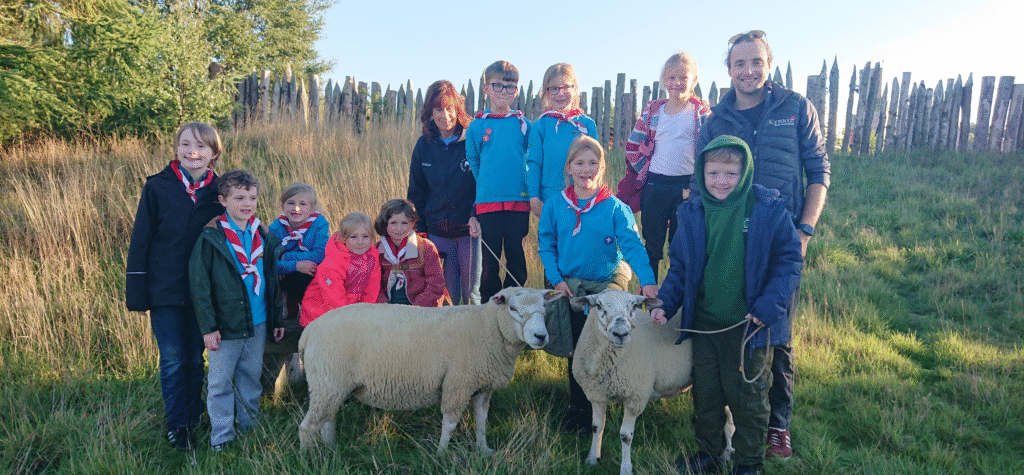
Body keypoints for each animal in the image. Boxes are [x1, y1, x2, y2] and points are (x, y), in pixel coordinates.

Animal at [298, 287, 562, 454]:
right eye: (513, 308)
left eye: (544, 307)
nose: (540, 336)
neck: (488, 327)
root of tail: (309, 331)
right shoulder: (458, 383)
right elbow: (450, 423)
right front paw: (441, 454)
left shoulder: (482, 386)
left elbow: (481, 420)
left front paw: (483, 449)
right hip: (327, 381)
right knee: (307, 427)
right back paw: (309, 458)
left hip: (331, 385)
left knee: (326, 420)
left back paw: (331, 448)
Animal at [570, 289, 734, 475]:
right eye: (598, 306)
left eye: (634, 306)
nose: (621, 334)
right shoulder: (596, 394)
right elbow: (596, 427)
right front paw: (592, 458)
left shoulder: (635, 397)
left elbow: (625, 436)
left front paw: (626, 469)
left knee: (730, 418)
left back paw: (727, 454)